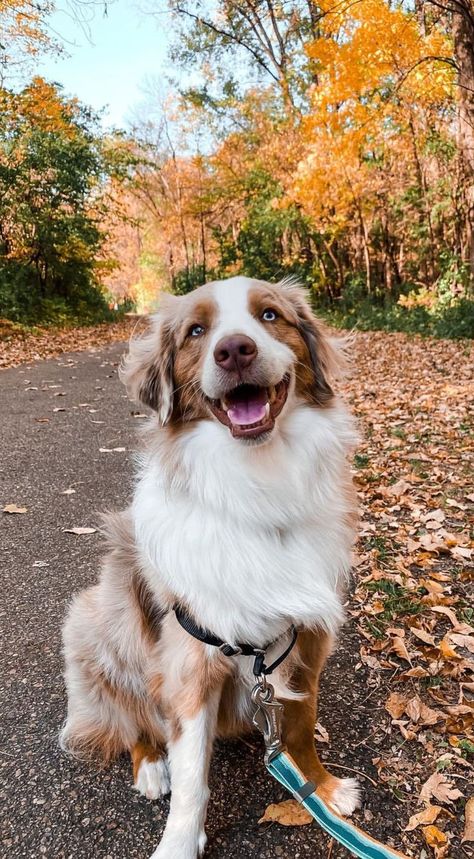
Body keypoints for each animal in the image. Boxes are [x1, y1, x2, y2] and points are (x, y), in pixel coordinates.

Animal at [62, 278, 360, 856]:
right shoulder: (192, 660)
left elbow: (300, 726)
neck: (257, 487)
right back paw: (151, 766)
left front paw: (322, 789)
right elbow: (192, 776)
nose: (235, 350)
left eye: (270, 316)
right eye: (197, 331)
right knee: (137, 720)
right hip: (98, 621)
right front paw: (179, 842)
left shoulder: (309, 637)